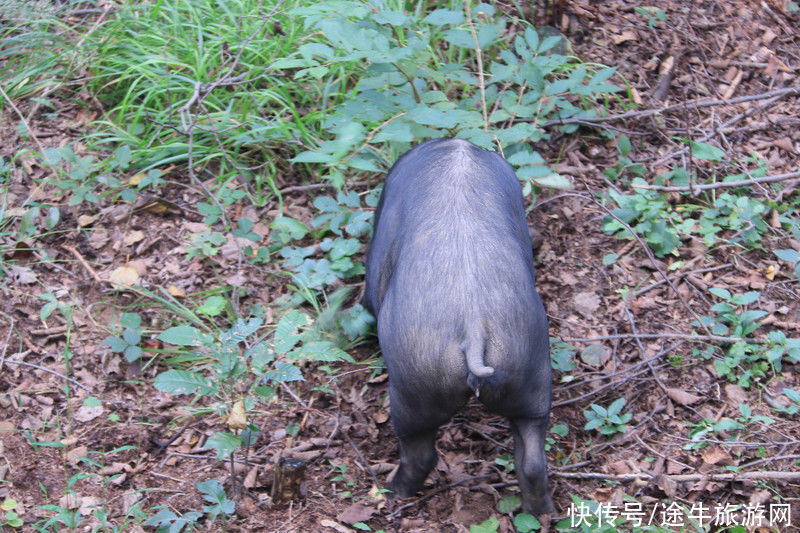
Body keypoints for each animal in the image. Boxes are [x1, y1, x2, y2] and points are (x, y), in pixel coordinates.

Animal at [366, 138, 552, 516]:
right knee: (532, 461)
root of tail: (475, 329)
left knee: (420, 455)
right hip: (532, 376)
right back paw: (540, 512)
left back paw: (390, 492)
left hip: (413, 389)